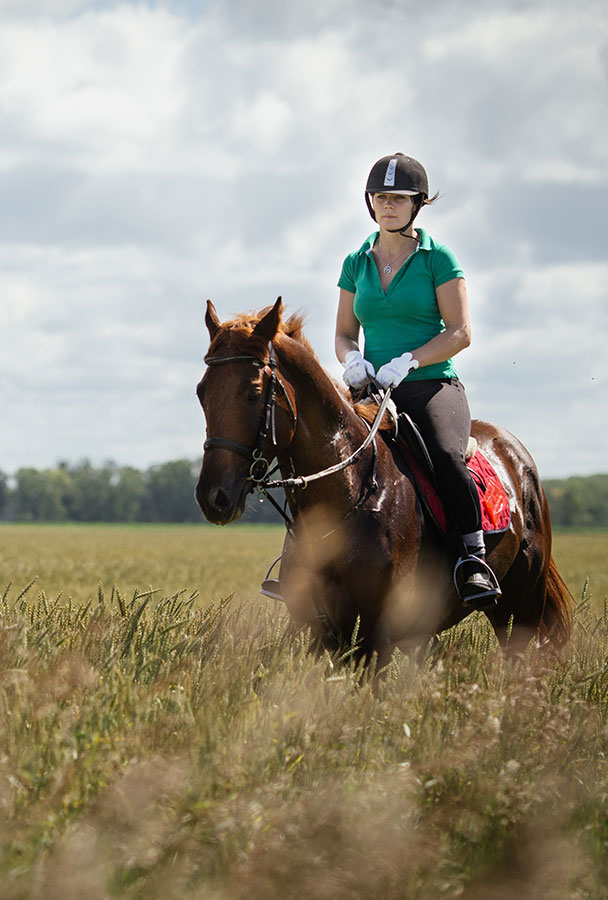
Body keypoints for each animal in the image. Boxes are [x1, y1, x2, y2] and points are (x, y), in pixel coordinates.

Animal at [197, 298, 572, 664]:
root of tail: (516, 453)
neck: (349, 492)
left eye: (253, 392)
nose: (212, 497)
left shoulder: (378, 630)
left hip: (523, 604)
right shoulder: (323, 630)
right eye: (202, 392)